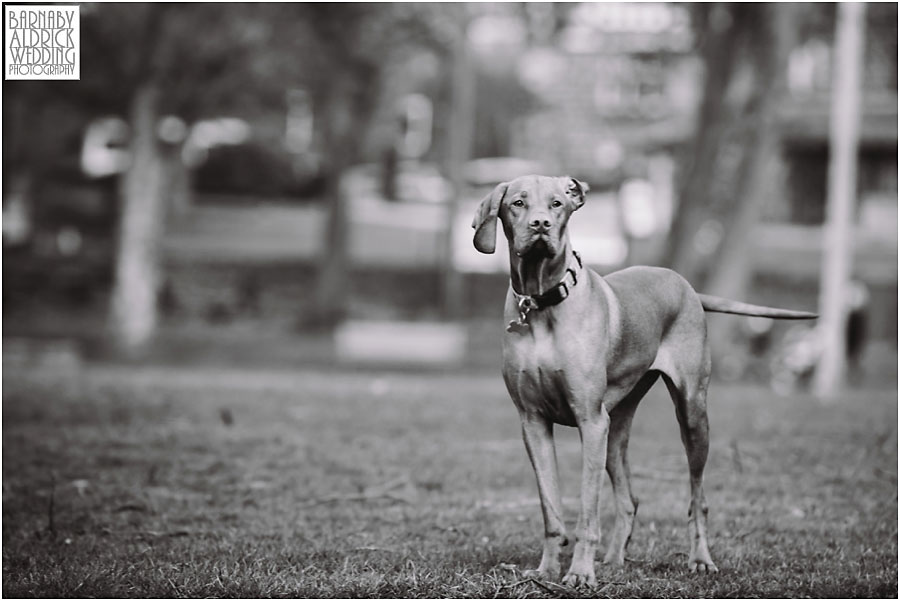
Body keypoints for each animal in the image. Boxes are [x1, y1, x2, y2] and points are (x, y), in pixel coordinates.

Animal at [472, 173, 816, 584]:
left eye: (557, 204)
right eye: (518, 203)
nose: (541, 225)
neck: (542, 304)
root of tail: (685, 285)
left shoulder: (590, 421)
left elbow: (587, 510)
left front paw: (580, 573)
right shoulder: (533, 423)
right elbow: (551, 508)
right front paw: (546, 570)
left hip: (691, 415)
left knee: (698, 498)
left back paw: (700, 559)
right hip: (615, 428)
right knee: (629, 498)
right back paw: (614, 559)